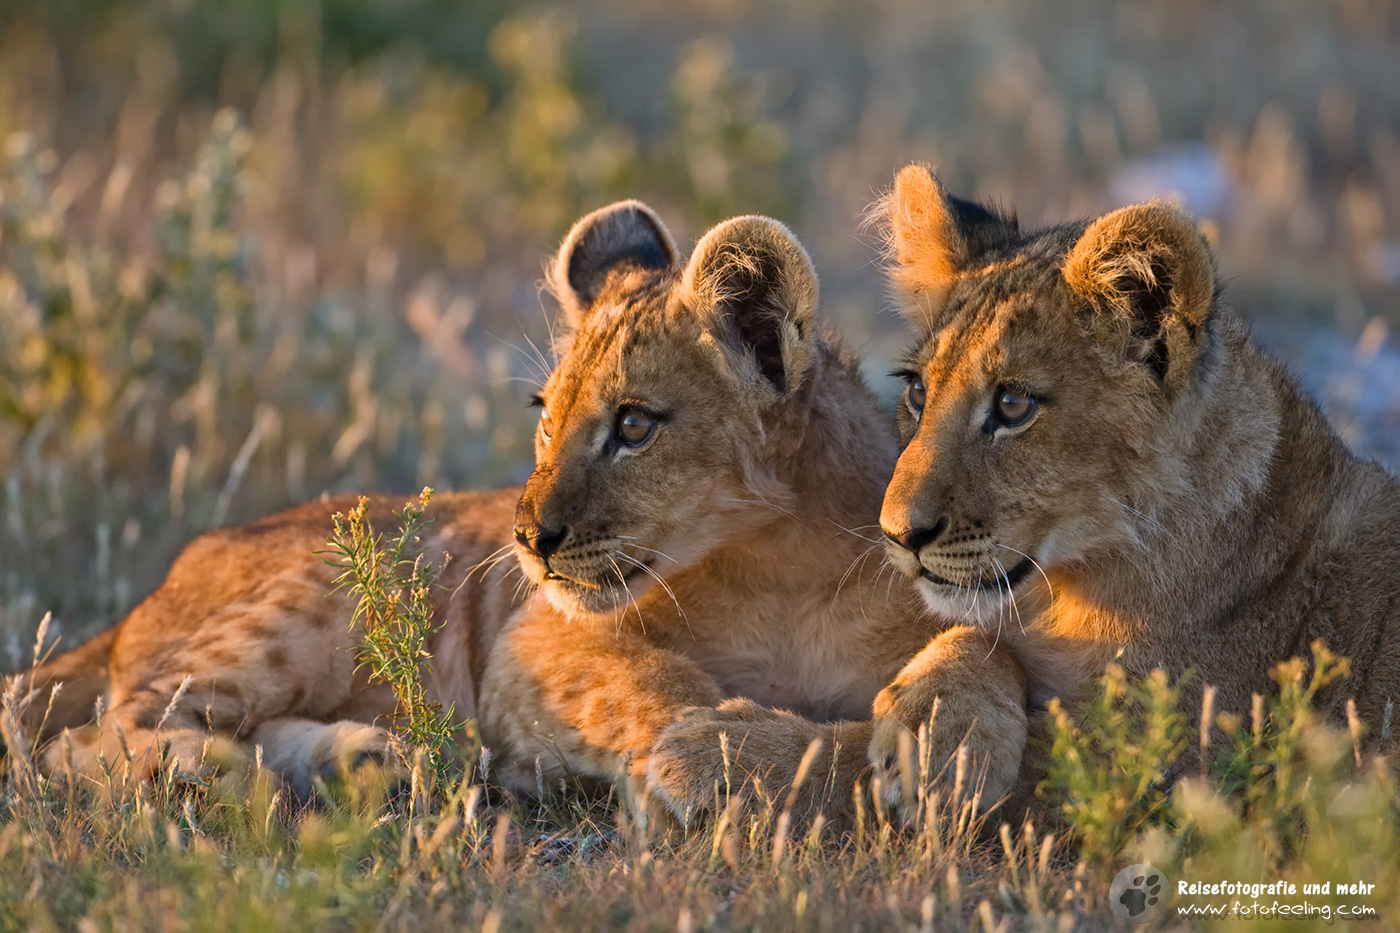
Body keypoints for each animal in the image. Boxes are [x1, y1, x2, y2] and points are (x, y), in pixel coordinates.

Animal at [14, 199, 1027, 818]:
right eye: (547, 414)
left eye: (632, 424)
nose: (528, 540)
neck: (780, 566)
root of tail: (151, 592)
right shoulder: (530, 639)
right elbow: (654, 682)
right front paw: (716, 750)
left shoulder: (956, 583)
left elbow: (985, 649)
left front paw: (950, 750)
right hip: (325, 590)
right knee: (88, 731)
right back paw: (217, 778)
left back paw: (367, 763)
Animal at [866, 163, 1400, 811]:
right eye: (918, 391)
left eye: (1014, 405)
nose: (899, 535)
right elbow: (974, 634)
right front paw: (931, 729)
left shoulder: (1147, 767)